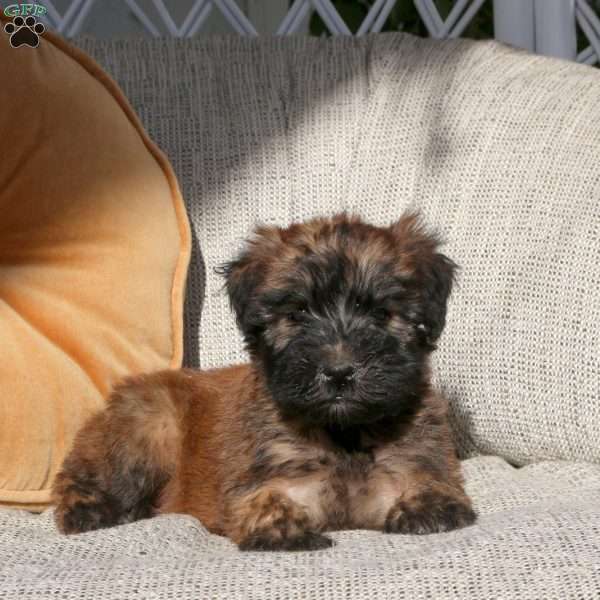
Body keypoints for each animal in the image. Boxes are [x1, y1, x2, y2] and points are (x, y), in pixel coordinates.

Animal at [52, 213, 474, 552]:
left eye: (381, 314)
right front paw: (282, 529)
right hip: (149, 426)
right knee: (78, 479)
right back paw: (92, 512)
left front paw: (426, 509)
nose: (339, 372)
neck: (342, 435)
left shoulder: (411, 463)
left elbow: (434, 485)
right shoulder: (269, 478)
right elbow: (262, 500)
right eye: (297, 313)